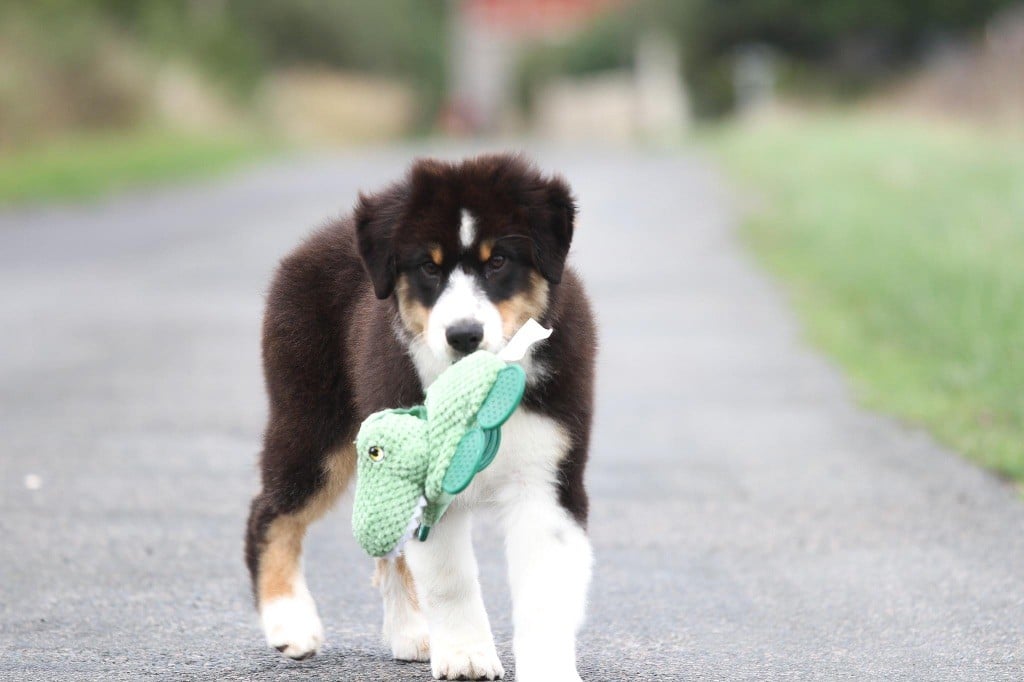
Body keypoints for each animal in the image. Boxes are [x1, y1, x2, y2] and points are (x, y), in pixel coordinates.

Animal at [244, 153, 596, 681]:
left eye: (498, 262)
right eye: (428, 268)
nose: (464, 334)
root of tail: (319, 238)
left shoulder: (548, 477)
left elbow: (545, 592)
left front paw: (547, 670)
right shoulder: (427, 475)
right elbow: (450, 578)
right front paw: (468, 657)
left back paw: (413, 634)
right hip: (312, 423)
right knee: (271, 512)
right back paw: (290, 623)